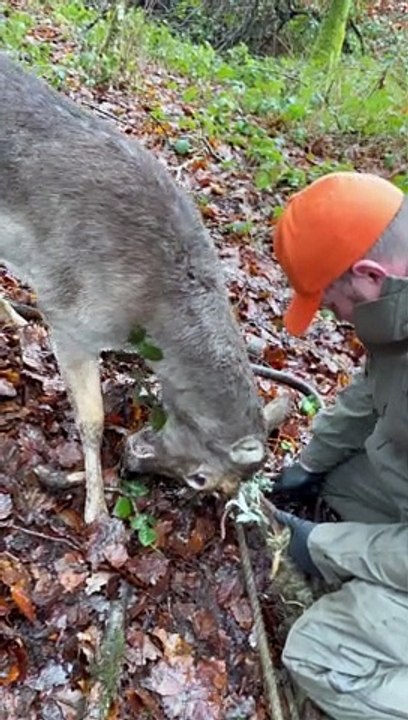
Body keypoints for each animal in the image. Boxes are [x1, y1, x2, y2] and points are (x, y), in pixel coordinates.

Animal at [0, 53, 289, 524]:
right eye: (202, 479)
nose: (131, 458)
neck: (148, 314)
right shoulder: (69, 316)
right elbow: (92, 420)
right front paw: (95, 509)